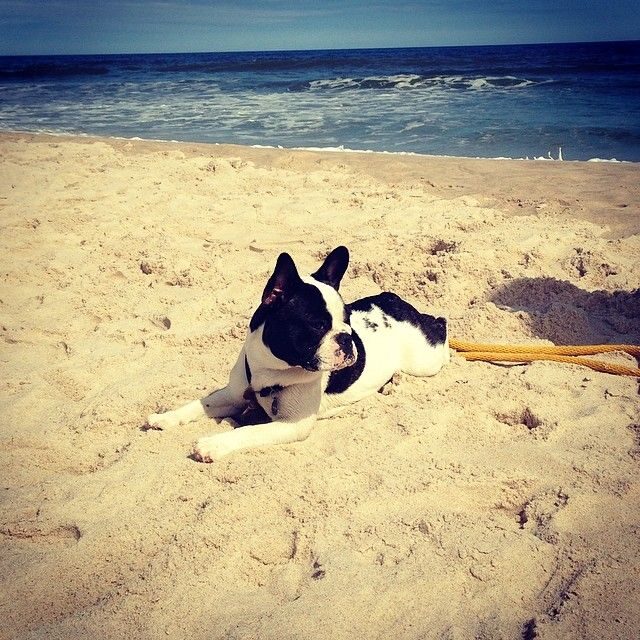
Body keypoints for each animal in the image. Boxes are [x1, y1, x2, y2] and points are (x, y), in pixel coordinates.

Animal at [148, 245, 450, 460]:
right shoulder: (234, 394)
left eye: (347, 321)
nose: (347, 338)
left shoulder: (291, 424)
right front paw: (165, 417)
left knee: (440, 324)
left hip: (424, 360)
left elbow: (249, 432)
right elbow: (199, 404)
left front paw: (213, 444)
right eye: (318, 325)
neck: (270, 370)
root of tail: (395, 300)